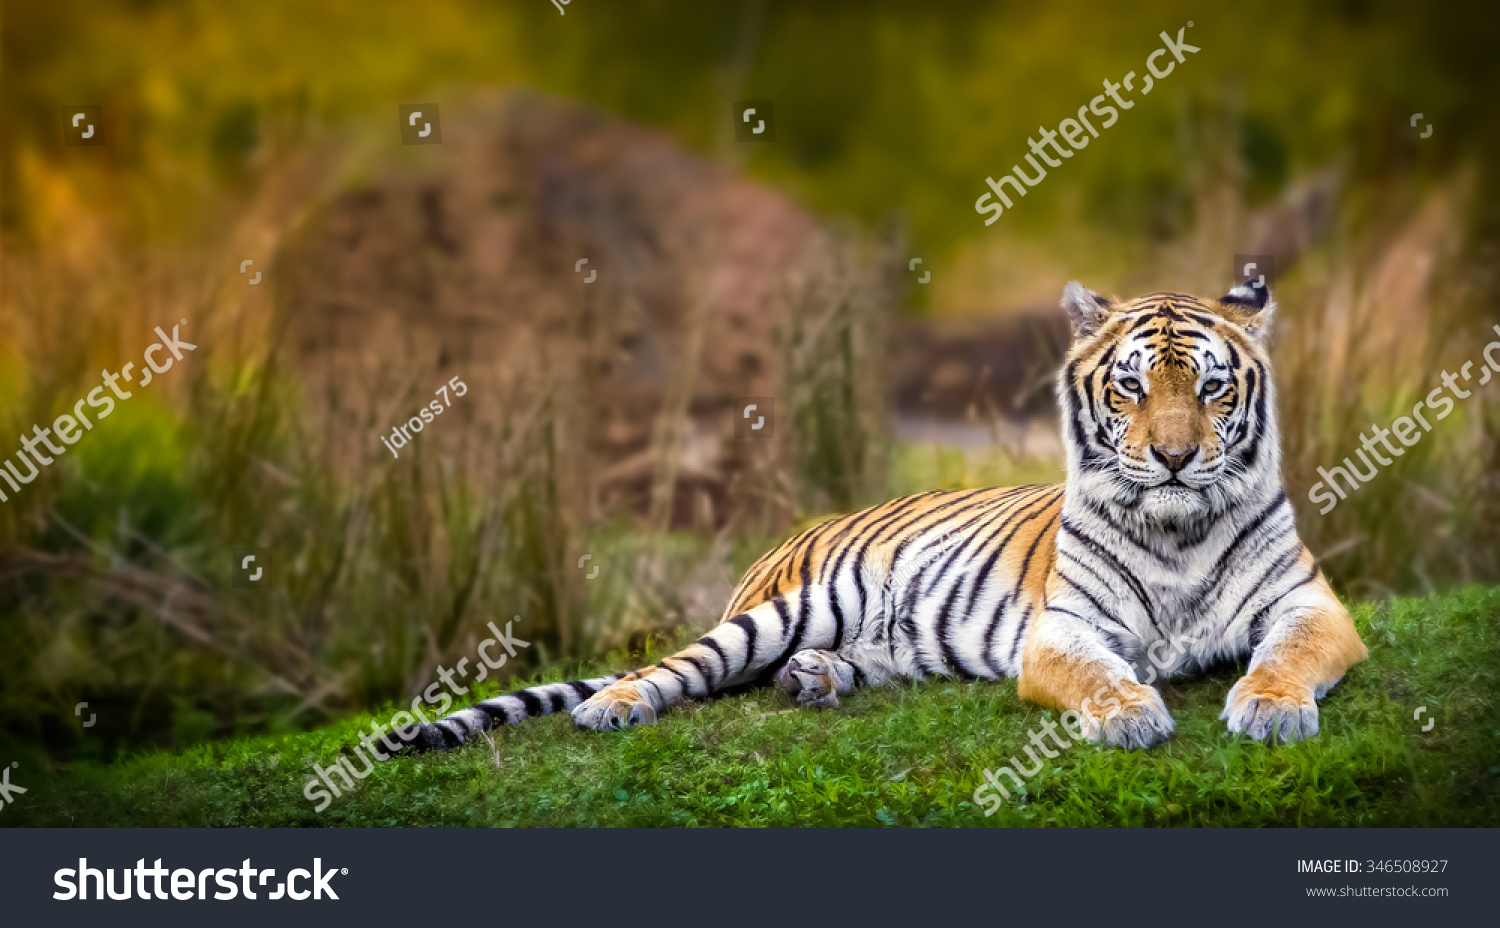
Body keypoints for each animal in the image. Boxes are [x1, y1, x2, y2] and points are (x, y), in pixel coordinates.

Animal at [382, 281, 1368, 757]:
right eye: (1130, 387)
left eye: (1210, 388)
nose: (1171, 457)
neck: (1177, 530)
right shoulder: (1065, 629)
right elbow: (1096, 674)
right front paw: (1129, 715)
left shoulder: (1313, 605)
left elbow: (1286, 654)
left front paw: (1270, 710)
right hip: (783, 610)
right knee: (679, 668)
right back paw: (616, 706)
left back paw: (815, 680)